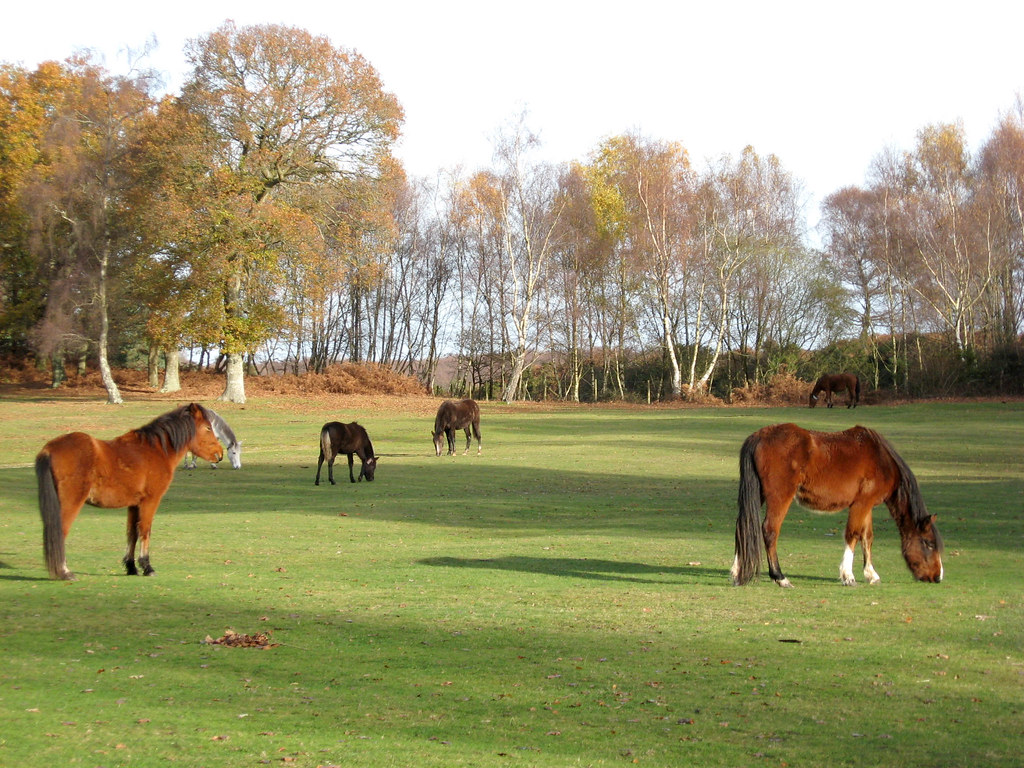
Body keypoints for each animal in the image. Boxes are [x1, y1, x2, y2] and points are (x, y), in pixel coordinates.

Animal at [35, 405, 223, 581]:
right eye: (208, 428)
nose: (219, 454)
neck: (155, 450)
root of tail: (49, 448)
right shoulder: (150, 501)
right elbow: (145, 531)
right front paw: (147, 567)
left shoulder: (134, 505)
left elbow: (132, 533)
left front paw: (131, 567)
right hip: (71, 503)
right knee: (60, 532)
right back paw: (65, 572)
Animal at [729, 428, 942, 589]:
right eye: (929, 544)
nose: (938, 577)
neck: (882, 460)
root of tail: (760, 435)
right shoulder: (860, 505)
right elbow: (853, 535)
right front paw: (848, 576)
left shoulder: (867, 505)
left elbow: (867, 537)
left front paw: (871, 574)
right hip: (780, 497)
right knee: (770, 531)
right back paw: (780, 577)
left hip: (759, 493)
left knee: (743, 525)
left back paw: (737, 571)